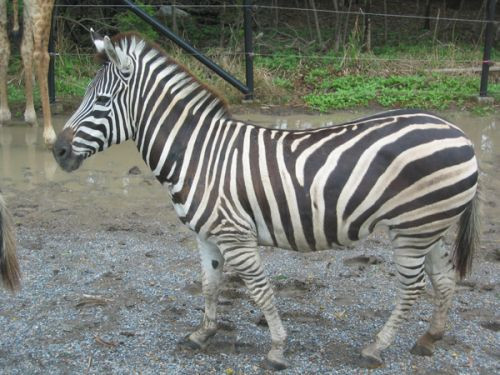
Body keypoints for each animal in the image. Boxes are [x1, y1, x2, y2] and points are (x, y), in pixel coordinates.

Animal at [52, 31, 478, 370]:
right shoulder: (206, 234)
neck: (197, 153)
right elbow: (209, 284)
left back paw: (376, 347)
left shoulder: (235, 234)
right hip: (428, 227)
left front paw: (276, 349)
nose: (57, 151)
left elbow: (260, 290)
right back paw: (429, 338)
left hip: (413, 228)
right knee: (443, 278)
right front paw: (202, 335)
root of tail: (459, 132)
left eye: (101, 101)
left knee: (413, 287)